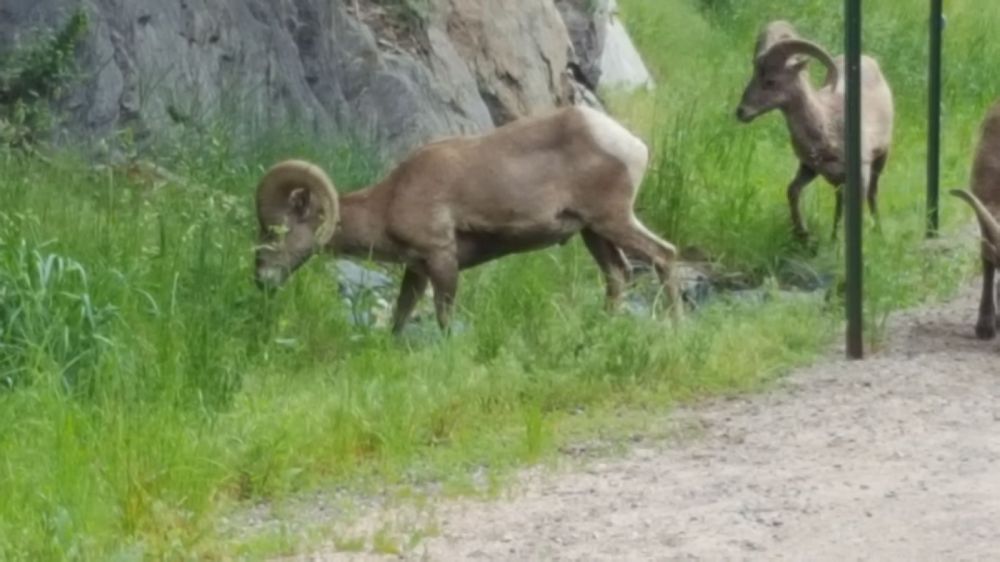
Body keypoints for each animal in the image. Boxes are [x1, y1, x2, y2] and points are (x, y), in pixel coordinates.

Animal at [253, 105, 683, 334]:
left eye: (278, 229)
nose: (261, 279)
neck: (390, 200)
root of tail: (630, 143)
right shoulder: (417, 270)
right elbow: (400, 316)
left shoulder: (442, 259)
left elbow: (444, 317)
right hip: (594, 233)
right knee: (618, 275)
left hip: (613, 221)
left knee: (664, 255)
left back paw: (673, 325)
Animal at [735, 20, 895, 241]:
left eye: (771, 81)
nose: (741, 112)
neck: (826, 126)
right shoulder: (809, 169)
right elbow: (792, 190)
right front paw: (803, 234)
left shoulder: (860, 174)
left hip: (881, 158)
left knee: (873, 193)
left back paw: (878, 233)